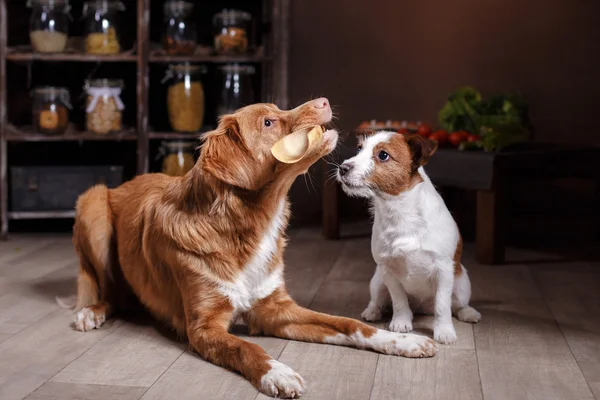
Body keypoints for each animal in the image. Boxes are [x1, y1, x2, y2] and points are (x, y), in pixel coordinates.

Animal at [72, 98, 436, 398]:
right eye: (268, 122)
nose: (323, 101)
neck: (248, 225)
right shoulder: (203, 327)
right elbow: (246, 349)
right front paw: (278, 373)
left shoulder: (276, 310)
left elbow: (349, 324)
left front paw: (403, 340)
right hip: (93, 201)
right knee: (109, 291)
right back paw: (91, 312)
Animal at [338, 131, 482, 344]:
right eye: (359, 149)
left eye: (383, 155)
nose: (342, 168)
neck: (400, 211)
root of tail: (422, 308)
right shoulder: (388, 271)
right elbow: (399, 300)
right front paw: (401, 322)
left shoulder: (443, 270)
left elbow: (442, 305)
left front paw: (444, 331)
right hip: (378, 282)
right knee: (378, 301)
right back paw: (373, 311)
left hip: (462, 283)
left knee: (457, 305)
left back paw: (468, 312)